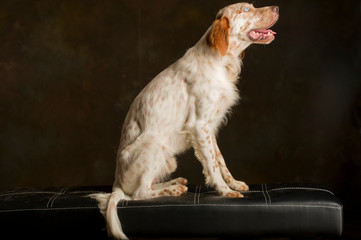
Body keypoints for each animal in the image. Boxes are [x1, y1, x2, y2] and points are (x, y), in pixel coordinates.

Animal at [90, 2, 278, 239]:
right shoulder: (199, 125)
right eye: (245, 10)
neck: (219, 60)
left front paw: (234, 184)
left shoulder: (210, 128)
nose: (277, 8)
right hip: (154, 146)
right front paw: (225, 191)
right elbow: (212, 164)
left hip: (169, 159)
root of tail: (116, 183)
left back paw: (175, 182)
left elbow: (220, 160)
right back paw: (172, 189)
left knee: (141, 188)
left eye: (252, 7)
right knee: (138, 194)